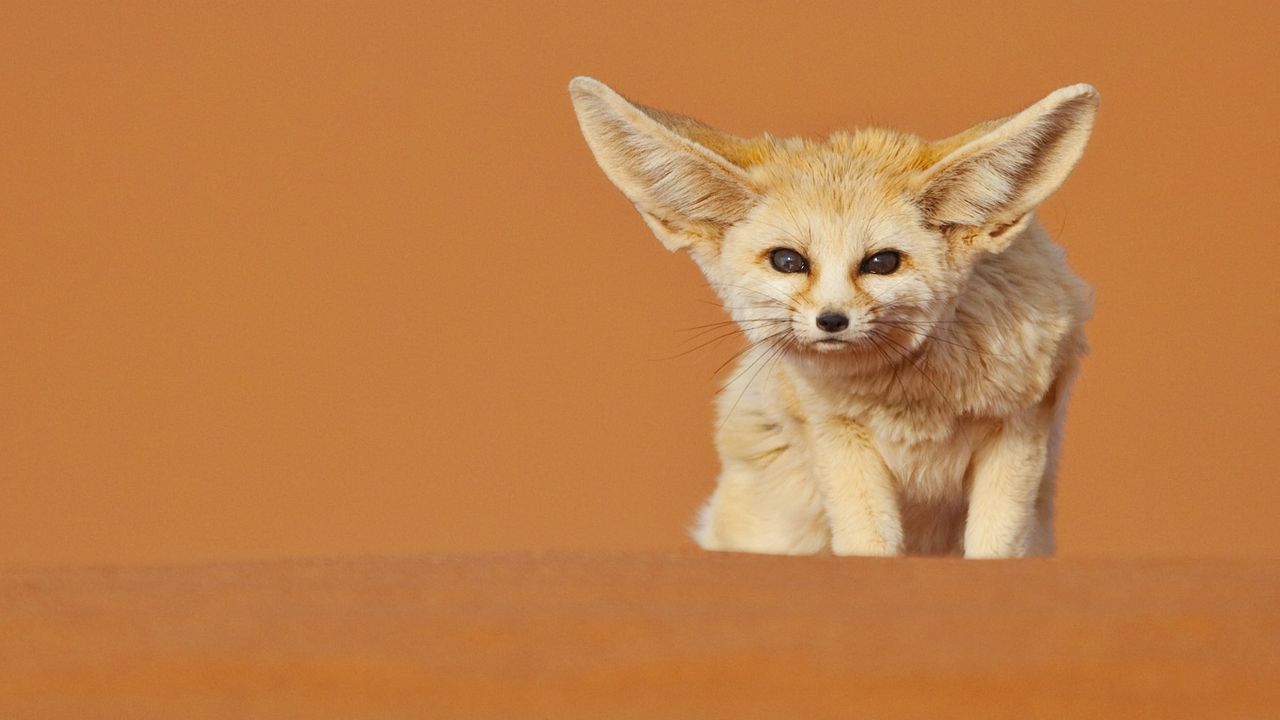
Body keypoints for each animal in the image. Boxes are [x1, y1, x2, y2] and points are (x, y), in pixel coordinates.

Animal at [569, 77, 1097, 558]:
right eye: (788, 261)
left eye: (882, 262)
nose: (831, 321)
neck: (915, 398)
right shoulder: (837, 434)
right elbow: (867, 543)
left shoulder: (1022, 426)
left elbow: (994, 547)